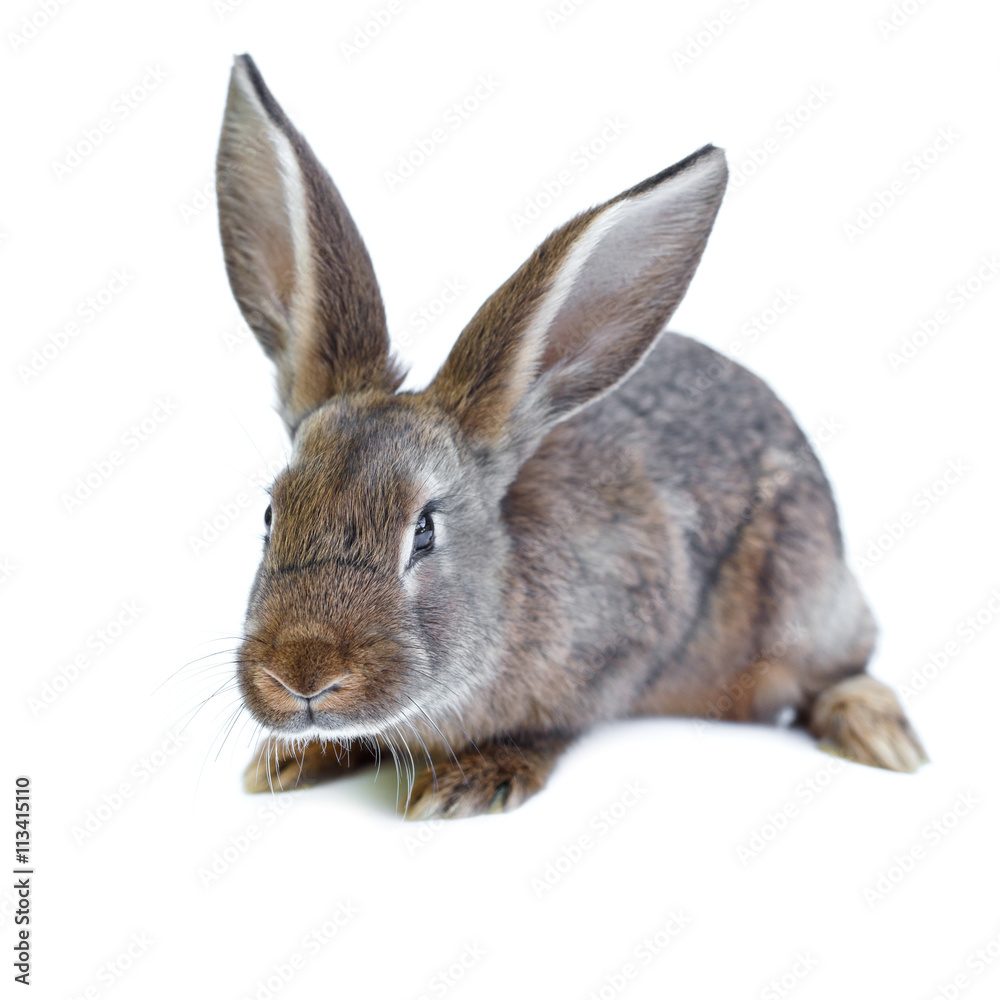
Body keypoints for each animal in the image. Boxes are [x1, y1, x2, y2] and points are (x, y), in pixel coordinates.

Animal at [216, 54, 927, 819]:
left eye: (424, 531)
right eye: (271, 515)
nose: (302, 675)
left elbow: (557, 722)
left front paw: (473, 779)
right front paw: (290, 759)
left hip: (801, 591)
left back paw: (879, 734)